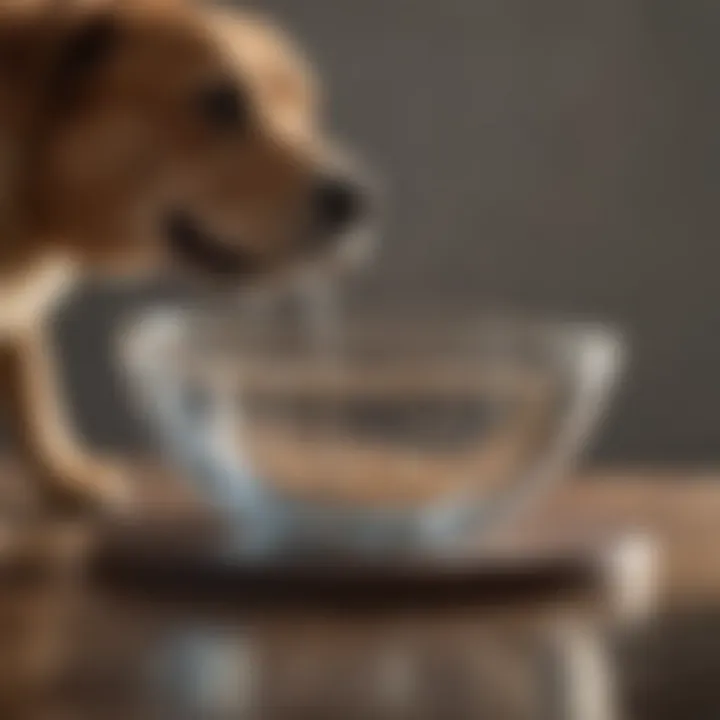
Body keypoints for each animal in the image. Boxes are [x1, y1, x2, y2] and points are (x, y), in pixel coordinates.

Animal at [0, 0, 368, 516]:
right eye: (221, 102)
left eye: (308, 110)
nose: (356, 200)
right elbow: (34, 383)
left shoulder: (22, 322)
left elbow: (33, 389)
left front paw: (62, 476)